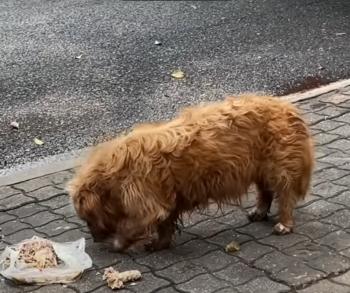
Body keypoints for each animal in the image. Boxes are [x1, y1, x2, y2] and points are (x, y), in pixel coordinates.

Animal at [67, 94, 314, 250]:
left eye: (87, 218)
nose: (95, 239)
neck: (112, 173)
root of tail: (288, 108)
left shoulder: (145, 201)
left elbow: (133, 225)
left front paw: (117, 243)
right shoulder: (164, 199)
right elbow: (165, 224)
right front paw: (160, 244)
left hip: (280, 164)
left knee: (285, 193)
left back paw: (284, 223)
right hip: (260, 166)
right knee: (265, 191)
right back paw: (260, 211)